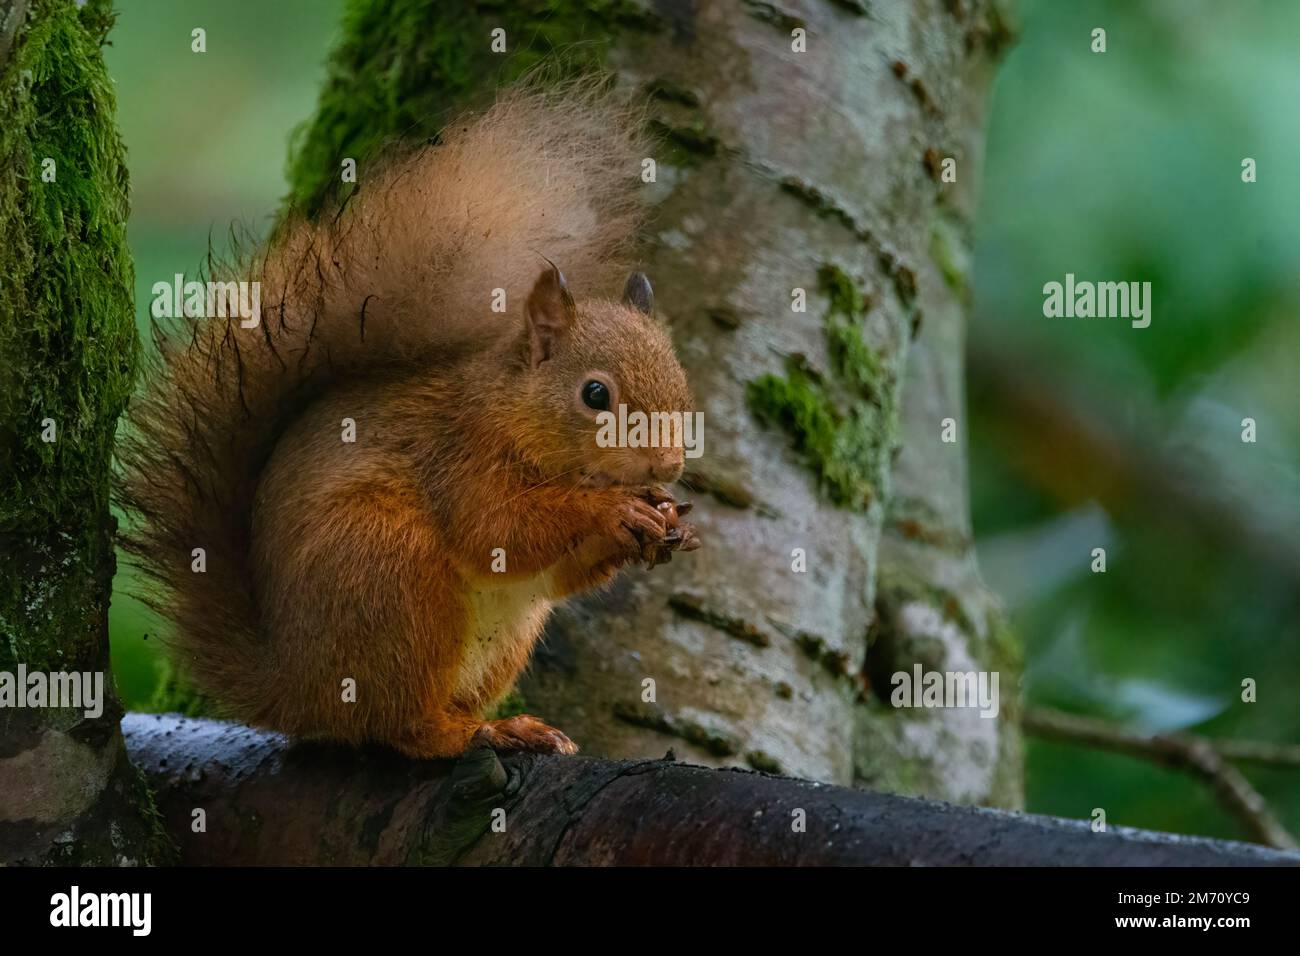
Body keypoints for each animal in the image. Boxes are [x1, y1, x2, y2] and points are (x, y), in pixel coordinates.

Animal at [119, 85, 702, 759]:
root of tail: (291, 692)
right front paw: (614, 511)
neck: (513, 412)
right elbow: (497, 530)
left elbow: (557, 574)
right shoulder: (459, 455)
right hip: (391, 572)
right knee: (398, 725)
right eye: (595, 394)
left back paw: (515, 725)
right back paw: (475, 731)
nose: (668, 465)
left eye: (682, 384)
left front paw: (670, 523)